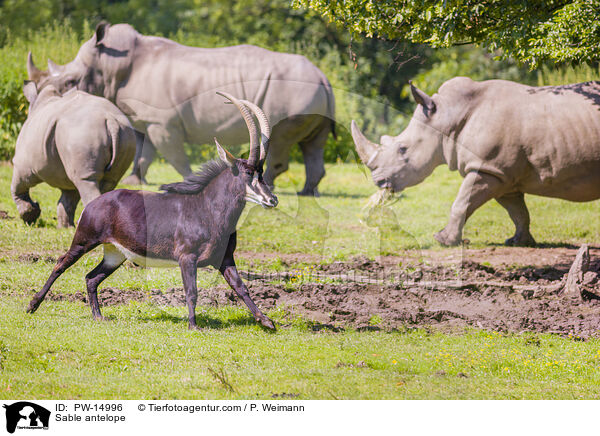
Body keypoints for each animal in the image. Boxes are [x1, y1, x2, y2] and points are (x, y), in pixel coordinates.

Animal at [27, 93, 278, 330]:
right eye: (247, 173)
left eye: (261, 172)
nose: (272, 199)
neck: (208, 209)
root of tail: (94, 203)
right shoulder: (187, 258)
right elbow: (192, 291)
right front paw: (193, 325)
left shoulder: (225, 258)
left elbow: (241, 287)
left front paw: (266, 321)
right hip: (84, 241)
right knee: (60, 264)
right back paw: (33, 305)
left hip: (115, 254)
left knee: (91, 278)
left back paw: (98, 316)